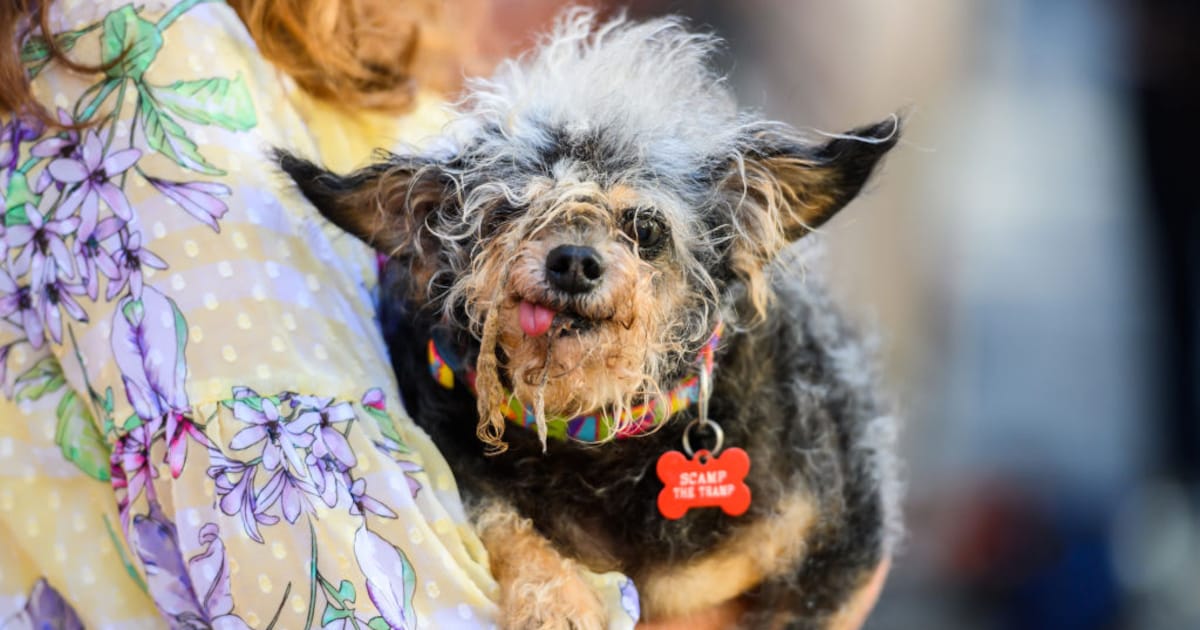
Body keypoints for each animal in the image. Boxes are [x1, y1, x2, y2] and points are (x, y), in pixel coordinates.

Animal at [278, 9, 902, 628]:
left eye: (645, 227)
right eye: (505, 214)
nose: (573, 262)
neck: (595, 433)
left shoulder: (841, 551)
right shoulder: (457, 455)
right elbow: (501, 515)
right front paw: (555, 600)